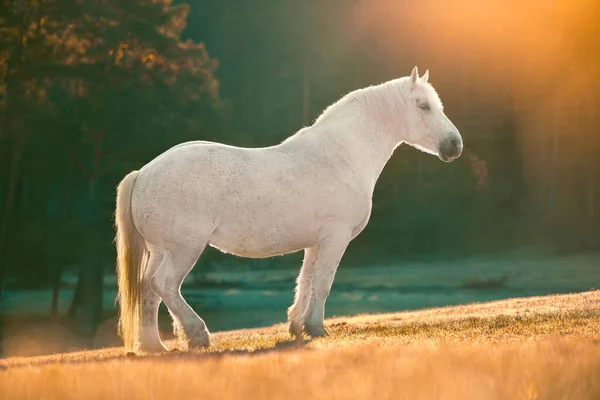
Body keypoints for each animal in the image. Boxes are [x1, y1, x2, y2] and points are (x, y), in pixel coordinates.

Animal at [116, 66, 464, 354]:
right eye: (423, 106)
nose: (454, 145)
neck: (343, 154)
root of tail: (143, 173)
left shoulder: (315, 242)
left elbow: (305, 281)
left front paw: (298, 326)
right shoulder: (335, 237)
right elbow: (323, 281)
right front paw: (316, 328)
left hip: (160, 250)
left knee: (148, 290)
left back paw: (154, 346)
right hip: (183, 249)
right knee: (165, 285)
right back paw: (197, 335)